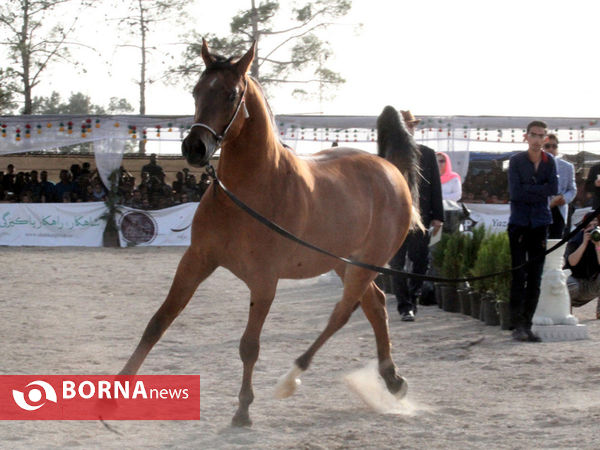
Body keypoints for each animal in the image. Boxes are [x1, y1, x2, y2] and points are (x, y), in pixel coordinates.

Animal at [119, 38, 422, 426]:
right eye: (196, 90)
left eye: (231, 94)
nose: (194, 148)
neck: (250, 189)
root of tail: (389, 169)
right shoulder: (196, 261)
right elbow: (158, 322)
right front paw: (113, 394)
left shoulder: (264, 280)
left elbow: (249, 346)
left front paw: (243, 409)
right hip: (346, 264)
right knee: (376, 305)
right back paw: (392, 379)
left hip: (365, 264)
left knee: (343, 312)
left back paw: (291, 378)